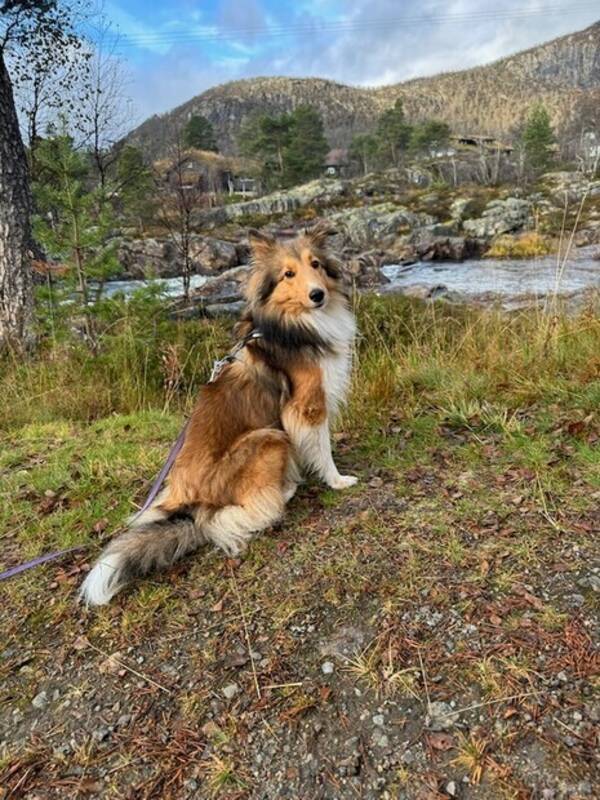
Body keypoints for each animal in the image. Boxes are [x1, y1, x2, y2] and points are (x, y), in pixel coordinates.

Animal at [82, 222, 358, 604]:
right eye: (288, 274)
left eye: (315, 264)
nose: (317, 295)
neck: (295, 321)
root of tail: (196, 508)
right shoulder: (306, 407)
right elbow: (322, 448)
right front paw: (337, 480)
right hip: (269, 437)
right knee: (244, 511)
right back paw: (284, 489)